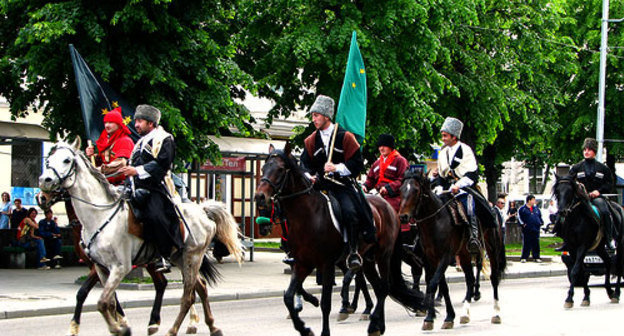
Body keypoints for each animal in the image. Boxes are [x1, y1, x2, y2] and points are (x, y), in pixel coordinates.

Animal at [35, 192, 200, 336]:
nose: (39, 197)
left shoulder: (100, 267)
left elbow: (82, 293)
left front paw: (74, 327)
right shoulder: (99, 266)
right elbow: (111, 295)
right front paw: (120, 322)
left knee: (187, 285)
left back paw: (189, 321)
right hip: (154, 264)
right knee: (164, 284)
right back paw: (156, 322)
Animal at [254, 146, 424, 336]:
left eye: (280, 169)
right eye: (263, 168)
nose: (260, 196)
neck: (309, 216)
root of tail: (390, 209)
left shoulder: (327, 264)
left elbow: (326, 302)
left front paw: (328, 325)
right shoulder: (302, 263)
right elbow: (289, 296)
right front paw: (304, 327)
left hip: (384, 255)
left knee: (386, 285)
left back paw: (372, 320)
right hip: (368, 260)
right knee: (379, 286)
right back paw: (378, 324)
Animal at [400, 169, 508, 330]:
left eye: (416, 190)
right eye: (401, 190)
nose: (403, 217)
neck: (436, 221)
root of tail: (494, 208)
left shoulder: (445, 256)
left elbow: (433, 284)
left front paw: (430, 316)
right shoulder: (430, 259)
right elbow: (441, 285)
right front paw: (444, 317)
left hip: (492, 247)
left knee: (494, 277)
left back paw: (496, 313)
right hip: (464, 254)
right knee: (469, 280)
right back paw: (465, 313)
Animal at [552, 175, 620, 308]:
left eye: (570, 191)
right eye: (557, 191)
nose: (562, 211)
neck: (575, 220)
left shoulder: (582, 246)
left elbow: (575, 271)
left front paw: (569, 299)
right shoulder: (572, 248)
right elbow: (581, 271)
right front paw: (586, 296)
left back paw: (617, 293)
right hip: (599, 247)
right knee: (608, 262)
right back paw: (610, 290)